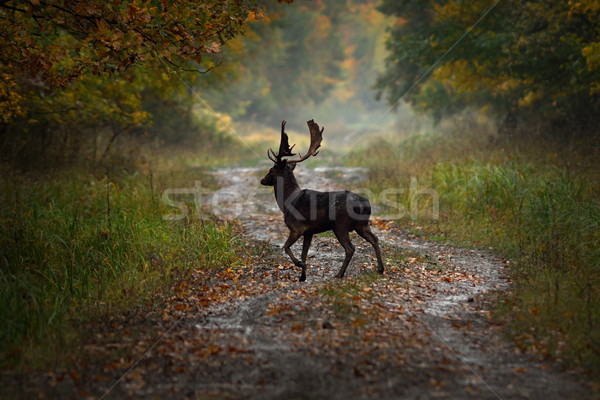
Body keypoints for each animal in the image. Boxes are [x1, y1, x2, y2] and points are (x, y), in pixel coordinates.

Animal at [262, 119, 384, 282]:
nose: (262, 180)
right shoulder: (309, 231)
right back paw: (380, 269)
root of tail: (365, 204)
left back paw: (339, 274)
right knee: (375, 239)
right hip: (362, 224)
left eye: (271, 170)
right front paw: (302, 277)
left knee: (350, 248)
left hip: (340, 225)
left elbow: (286, 247)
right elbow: (304, 253)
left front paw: (301, 265)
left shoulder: (297, 227)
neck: (287, 201)